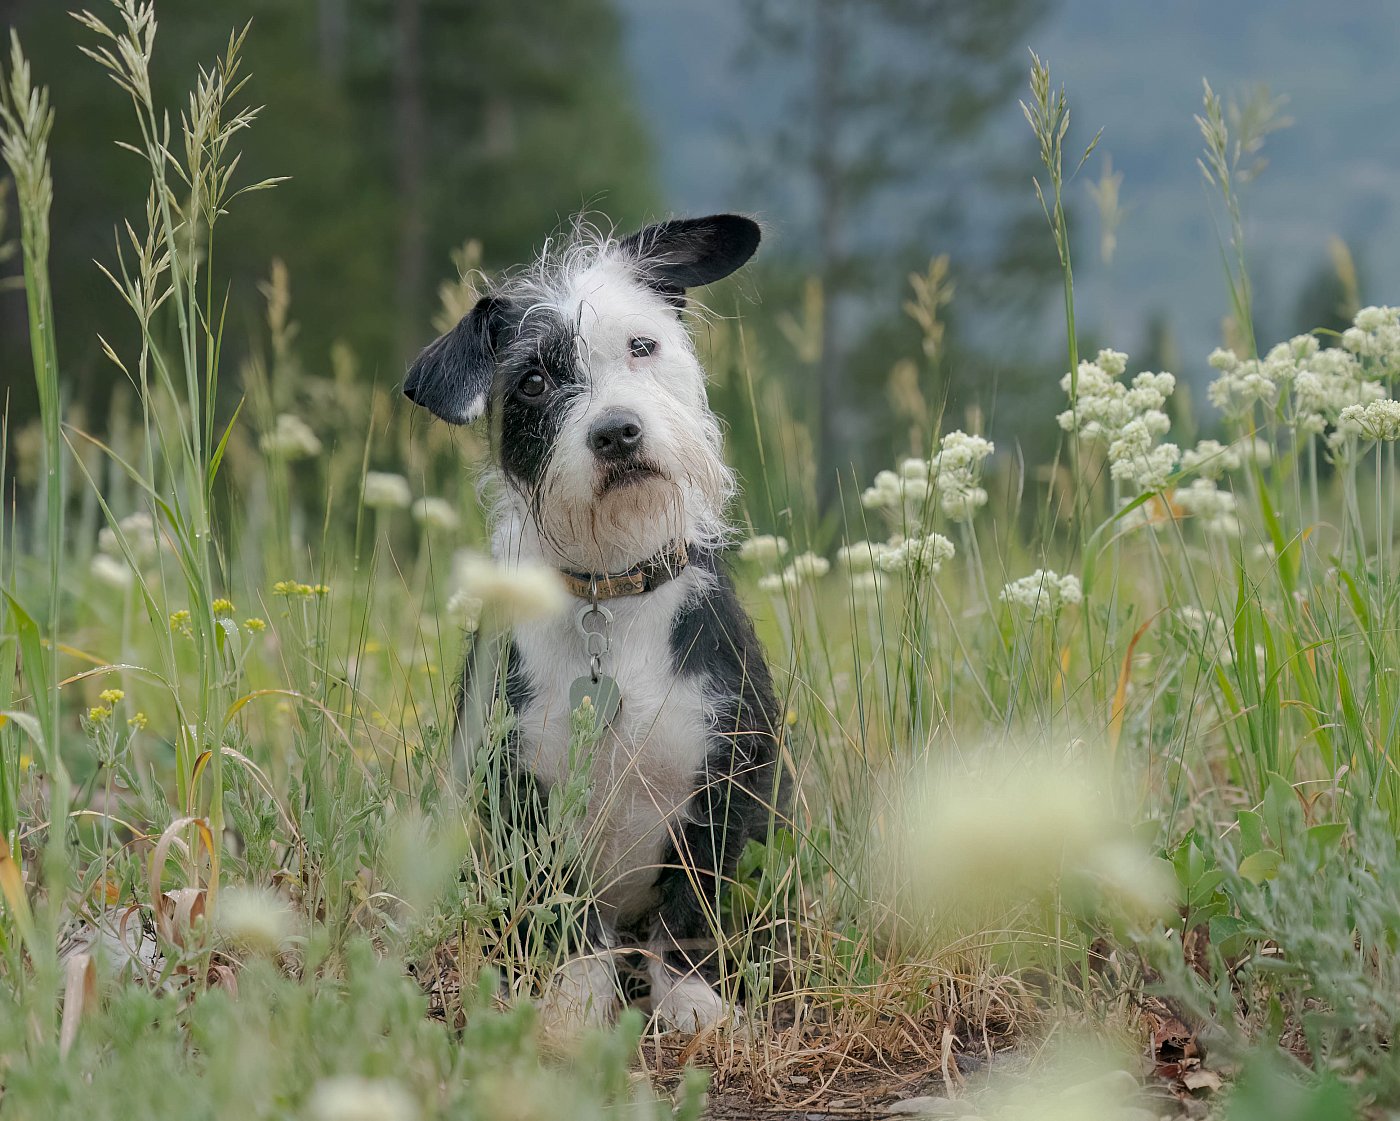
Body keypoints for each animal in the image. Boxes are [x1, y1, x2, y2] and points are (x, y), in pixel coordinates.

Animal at [406, 214, 784, 1030]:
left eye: (642, 345)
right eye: (534, 381)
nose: (617, 432)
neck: (611, 596)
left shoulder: (727, 776)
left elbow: (689, 907)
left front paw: (691, 999)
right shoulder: (524, 793)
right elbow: (570, 916)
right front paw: (575, 1005)